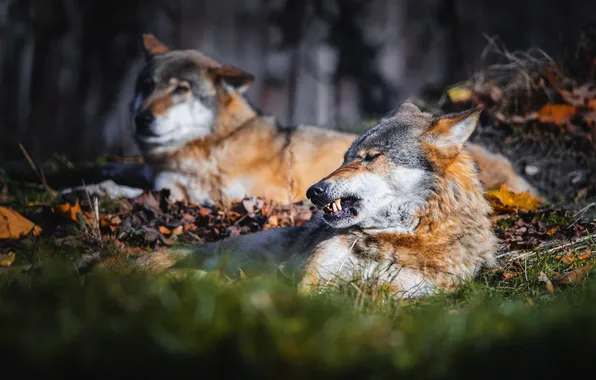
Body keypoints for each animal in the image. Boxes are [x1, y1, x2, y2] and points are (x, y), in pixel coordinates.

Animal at [140, 103, 498, 296]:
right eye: (346, 158)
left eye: (370, 158)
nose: (314, 191)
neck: (392, 237)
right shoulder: (310, 277)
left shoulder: (407, 294)